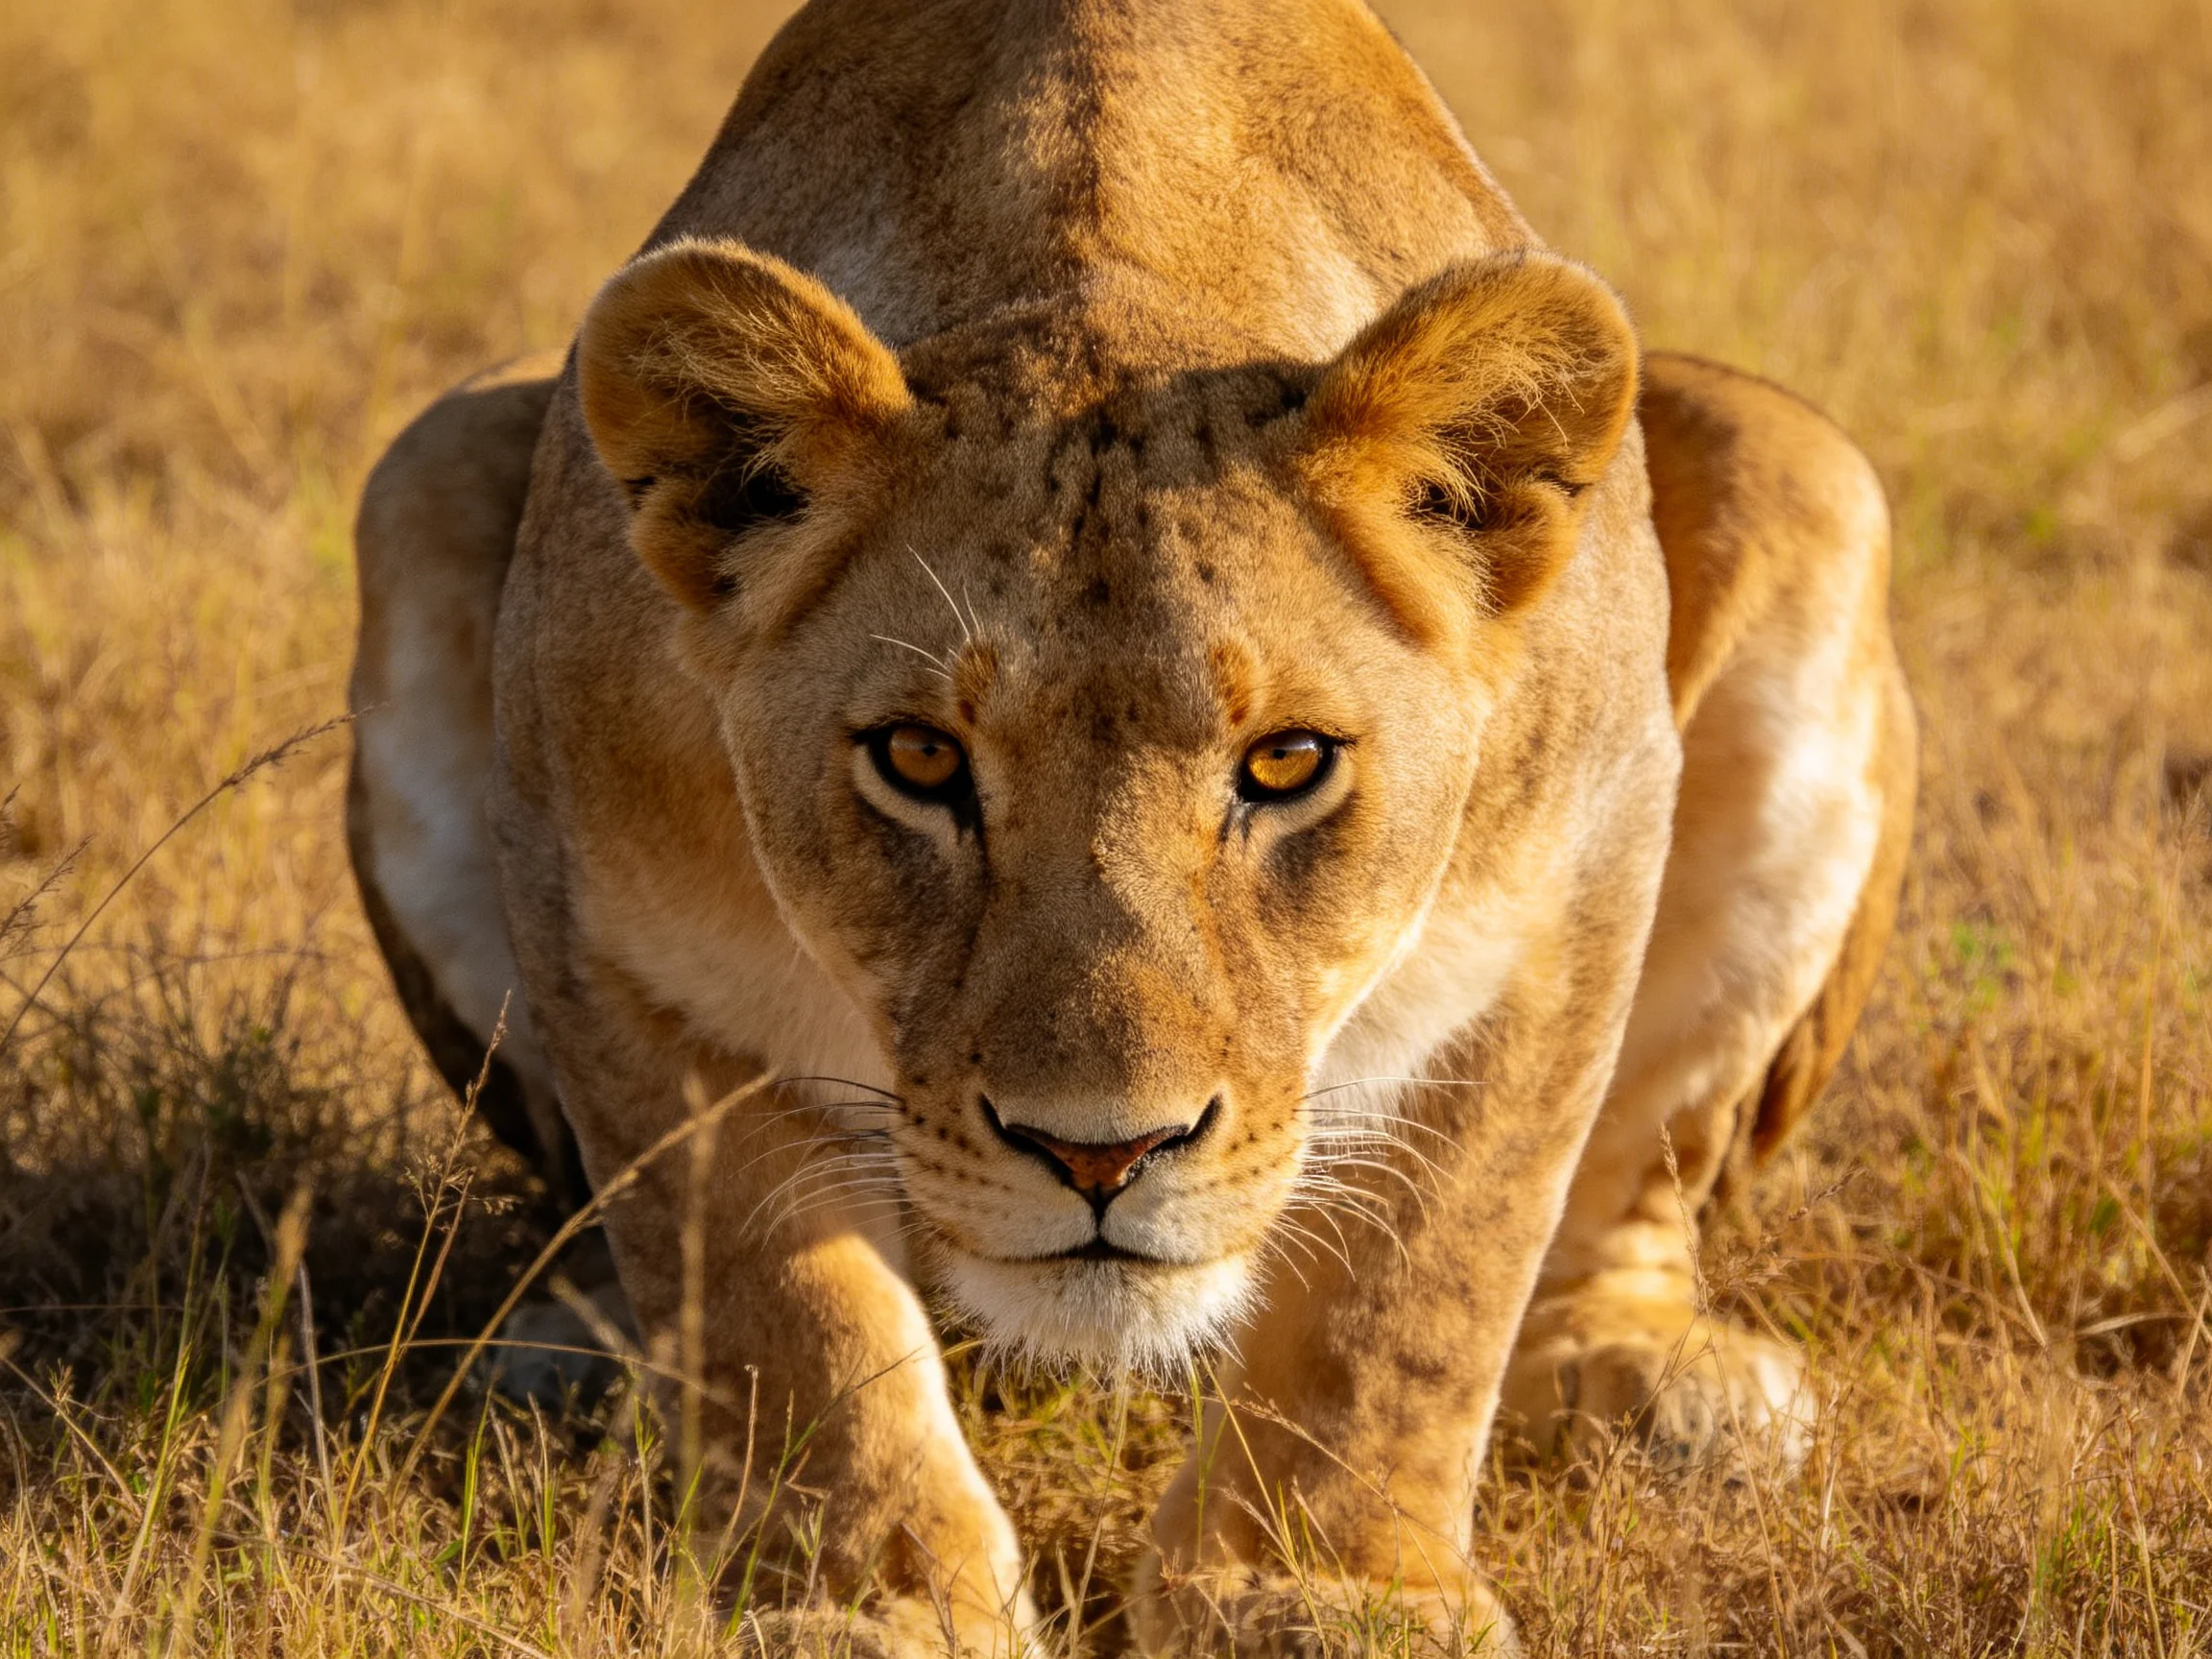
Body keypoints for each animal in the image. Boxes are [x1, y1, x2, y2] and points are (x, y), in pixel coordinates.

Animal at [346, 0, 1914, 1650]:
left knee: (1631, 1199)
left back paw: (1665, 1386)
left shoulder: (1570, 881)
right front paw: (873, 1605)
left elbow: (1415, 1287)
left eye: (1287, 764)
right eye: (919, 757)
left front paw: (1325, 1590)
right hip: (424, 468)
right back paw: (567, 1356)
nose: (1101, 1156)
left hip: (1802, 465)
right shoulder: (606, 908)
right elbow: (775, 1304)